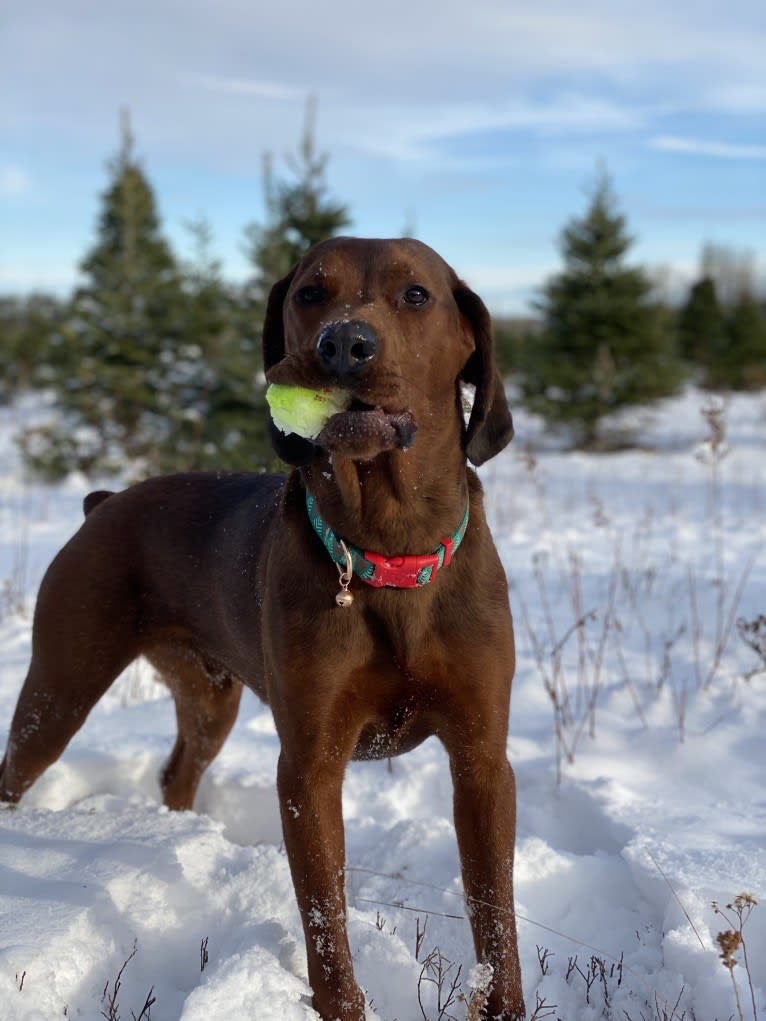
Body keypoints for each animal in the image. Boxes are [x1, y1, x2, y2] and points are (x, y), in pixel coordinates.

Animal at [0, 236, 527, 1012]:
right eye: (310, 292)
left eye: (416, 295)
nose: (344, 343)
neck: (389, 547)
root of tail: (104, 503)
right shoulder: (310, 765)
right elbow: (325, 922)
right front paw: (339, 1008)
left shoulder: (482, 758)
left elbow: (494, 911)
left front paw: (503, 1005)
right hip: (59, 687)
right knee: (18, 769)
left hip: (207, 694)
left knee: (177, 772)